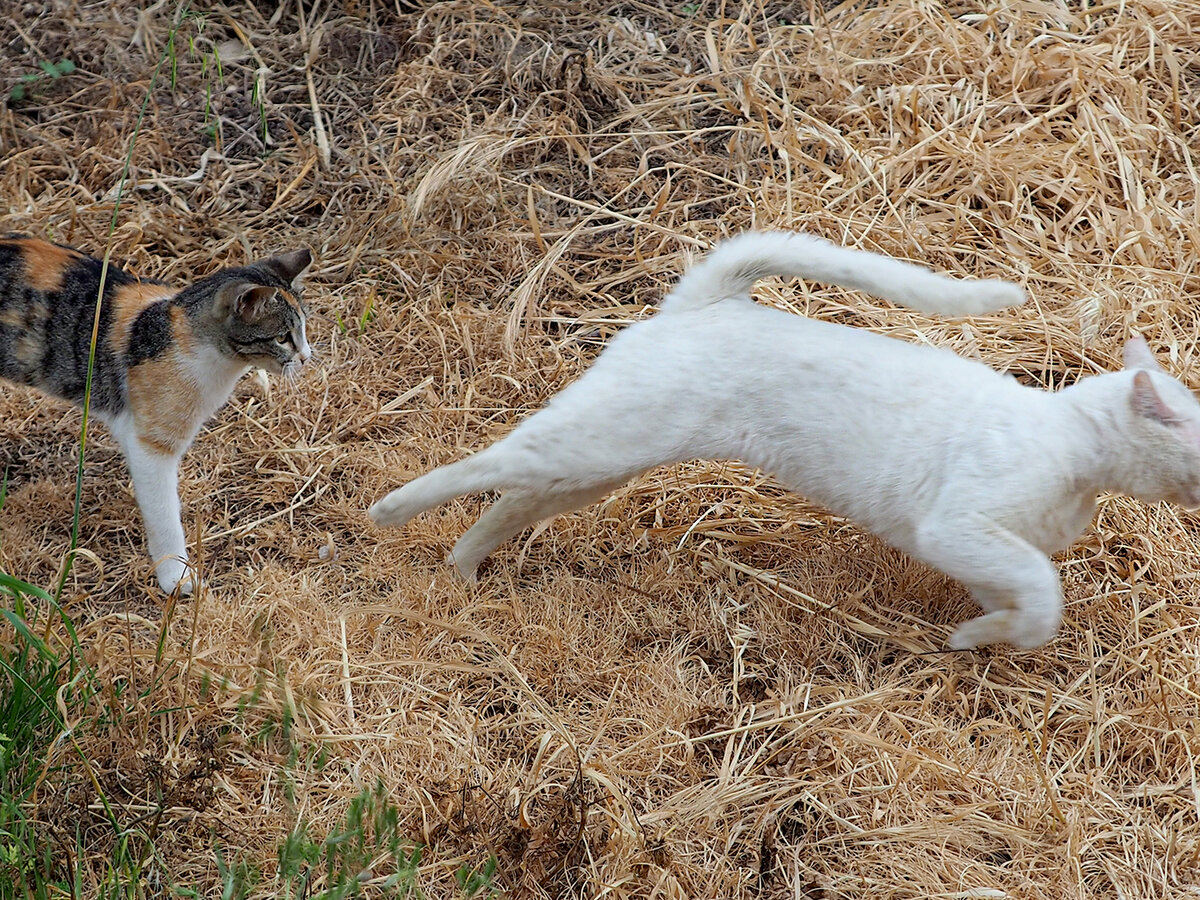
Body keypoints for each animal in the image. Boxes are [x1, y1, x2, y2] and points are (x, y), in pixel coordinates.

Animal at [0, 236, 314, 595]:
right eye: (282, 338)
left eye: (304, 329)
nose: (307, 356)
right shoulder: (151, 447)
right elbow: (164, 516)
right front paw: (178, 577)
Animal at [367, 230, 1200, 657]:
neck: (1076, 454)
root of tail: (710, 301)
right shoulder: (958, 526)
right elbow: (1044, 594)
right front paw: (980, 637)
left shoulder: (981, 550)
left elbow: (1023, 600)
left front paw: (981, 637)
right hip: (596, 442)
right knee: (486, 463)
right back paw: (388, 513)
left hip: (605, 459)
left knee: (511, 500)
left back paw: (463, 573)